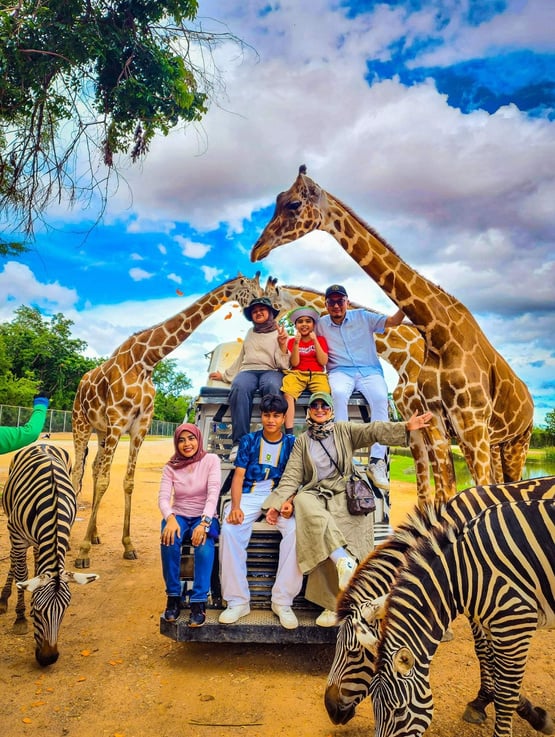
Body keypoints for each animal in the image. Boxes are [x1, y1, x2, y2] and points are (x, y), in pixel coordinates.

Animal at [0, 442, 99, 668]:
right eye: (37, 610)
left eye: (65, 610)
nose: (48, 659)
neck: (53, 506)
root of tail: (44, 442)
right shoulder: (17, 536)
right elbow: (21, 574)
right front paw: (20, 618)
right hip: (13, 528)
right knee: (14, 559)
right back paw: (3, 599)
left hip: (37, 541)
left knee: (37, 558)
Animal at [71, 274, 264, 568]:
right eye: (251, 292)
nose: (266, 307)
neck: (145, 361)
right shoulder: (118, 420)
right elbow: (106, 480)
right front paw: (82, 553)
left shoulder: (139, 426)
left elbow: (127, 481)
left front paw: (128, 546)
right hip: (82, 423)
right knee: (78, 471)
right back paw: (70, 533)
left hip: (101, 431)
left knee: (93, 468)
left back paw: (94, 535)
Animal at [324, 474, 555, 728]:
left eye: (355, 653)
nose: (330, 709)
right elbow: (490, 655)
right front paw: (520, 707)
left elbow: (486, 652)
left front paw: (485, 701)